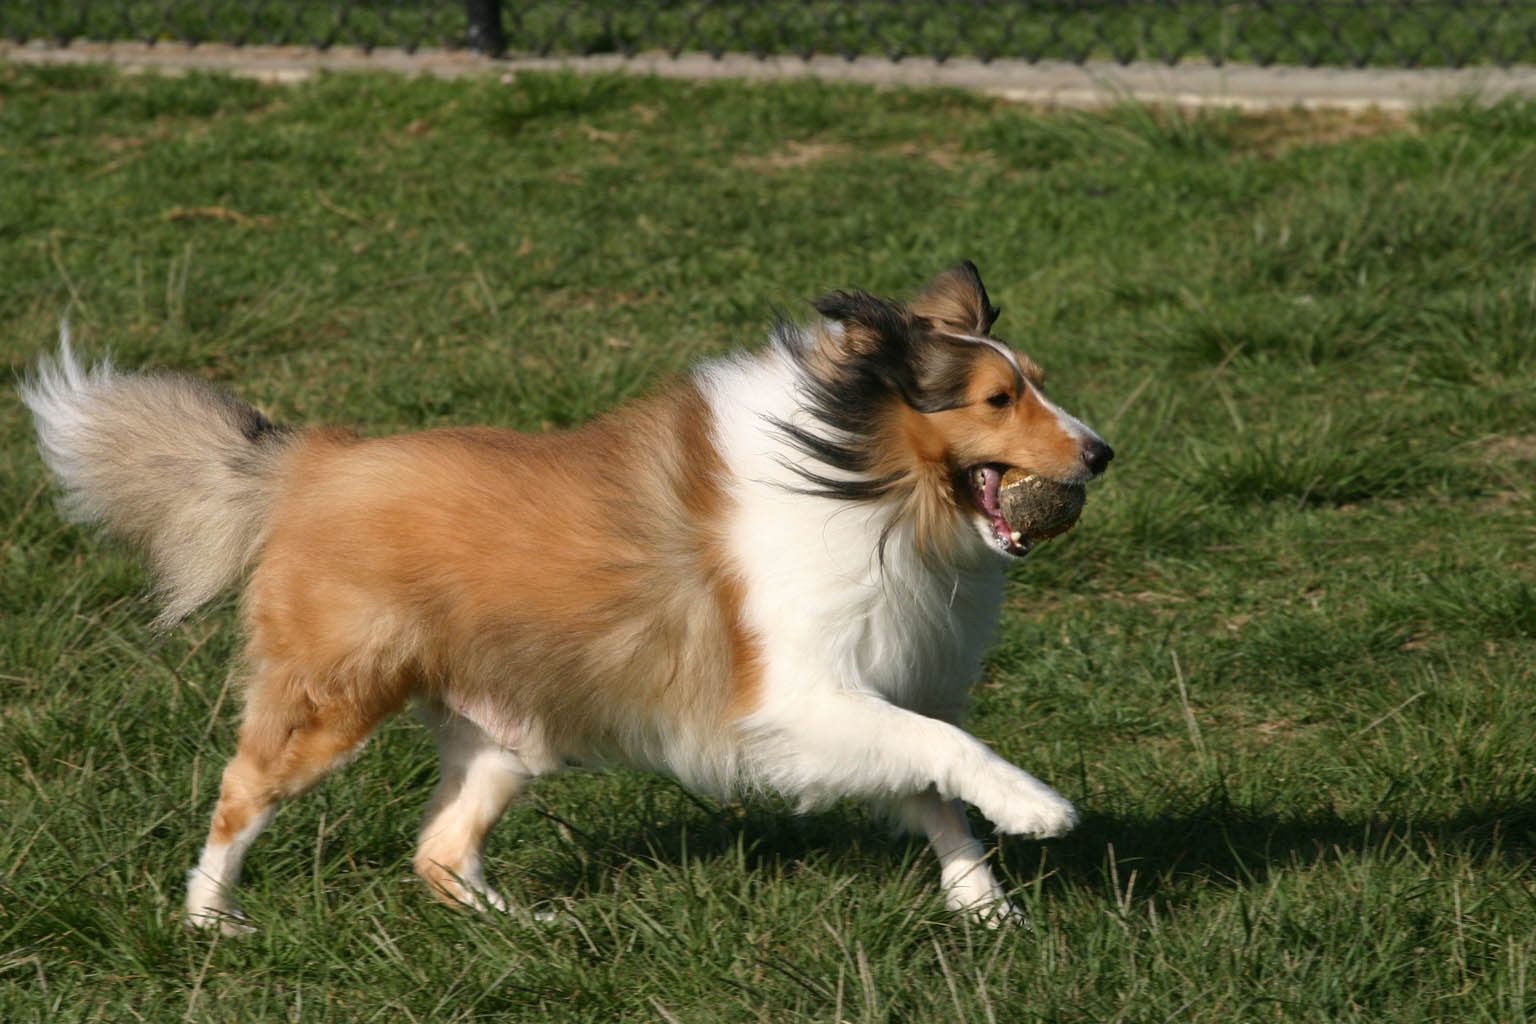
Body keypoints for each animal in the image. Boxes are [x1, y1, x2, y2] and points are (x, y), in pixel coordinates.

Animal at [21, 262, 1111, 932]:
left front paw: (987, 907)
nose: (1103, 452)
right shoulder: (800, 697)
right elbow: (947, 749)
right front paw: (1039, 808)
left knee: (438, 853)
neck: (868, 485)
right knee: (239, 793)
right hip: (332, 700)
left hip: (508, 735)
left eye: (1036, 382)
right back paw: (213, 920)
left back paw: (533, 929)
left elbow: (936, 789)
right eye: (996, 400)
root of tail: (312, 462)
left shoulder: (882, 681)